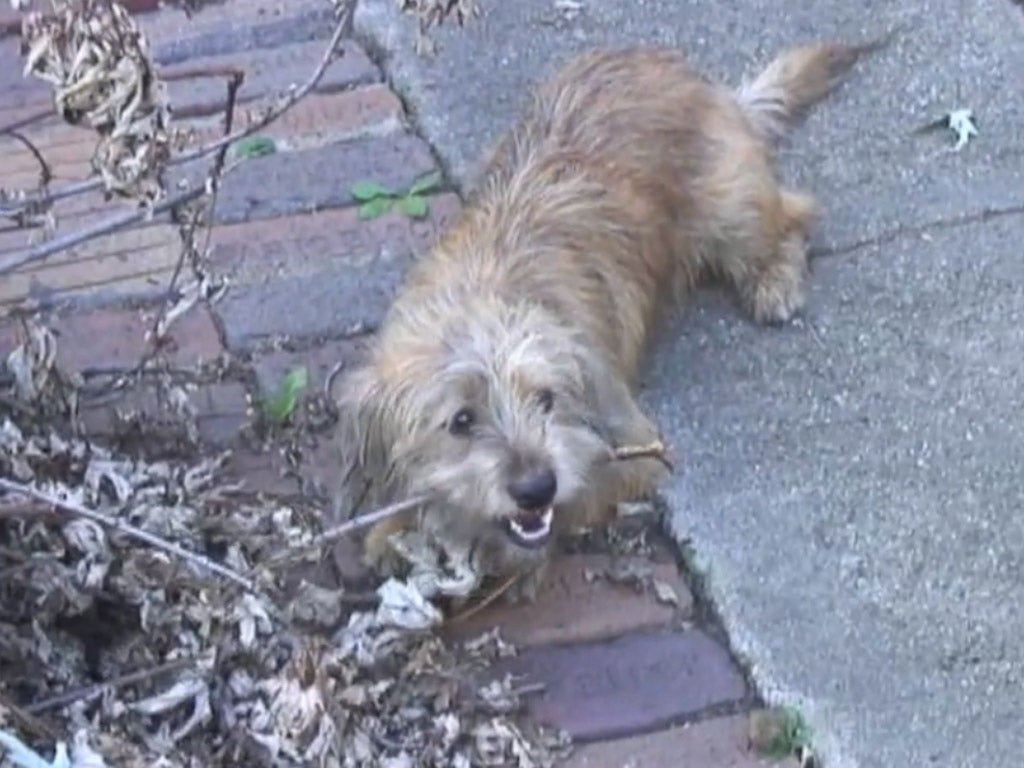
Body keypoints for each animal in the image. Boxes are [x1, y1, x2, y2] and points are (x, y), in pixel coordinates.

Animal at [331, 39, 880, 601]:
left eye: (546, 399)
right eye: (461, 421)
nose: (538, 487)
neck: (479, 289)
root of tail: (709, 86)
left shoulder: (635, 449)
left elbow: (580, 496)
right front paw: (390, 530)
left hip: (729, 207)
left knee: (795, 213)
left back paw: (775, 281)